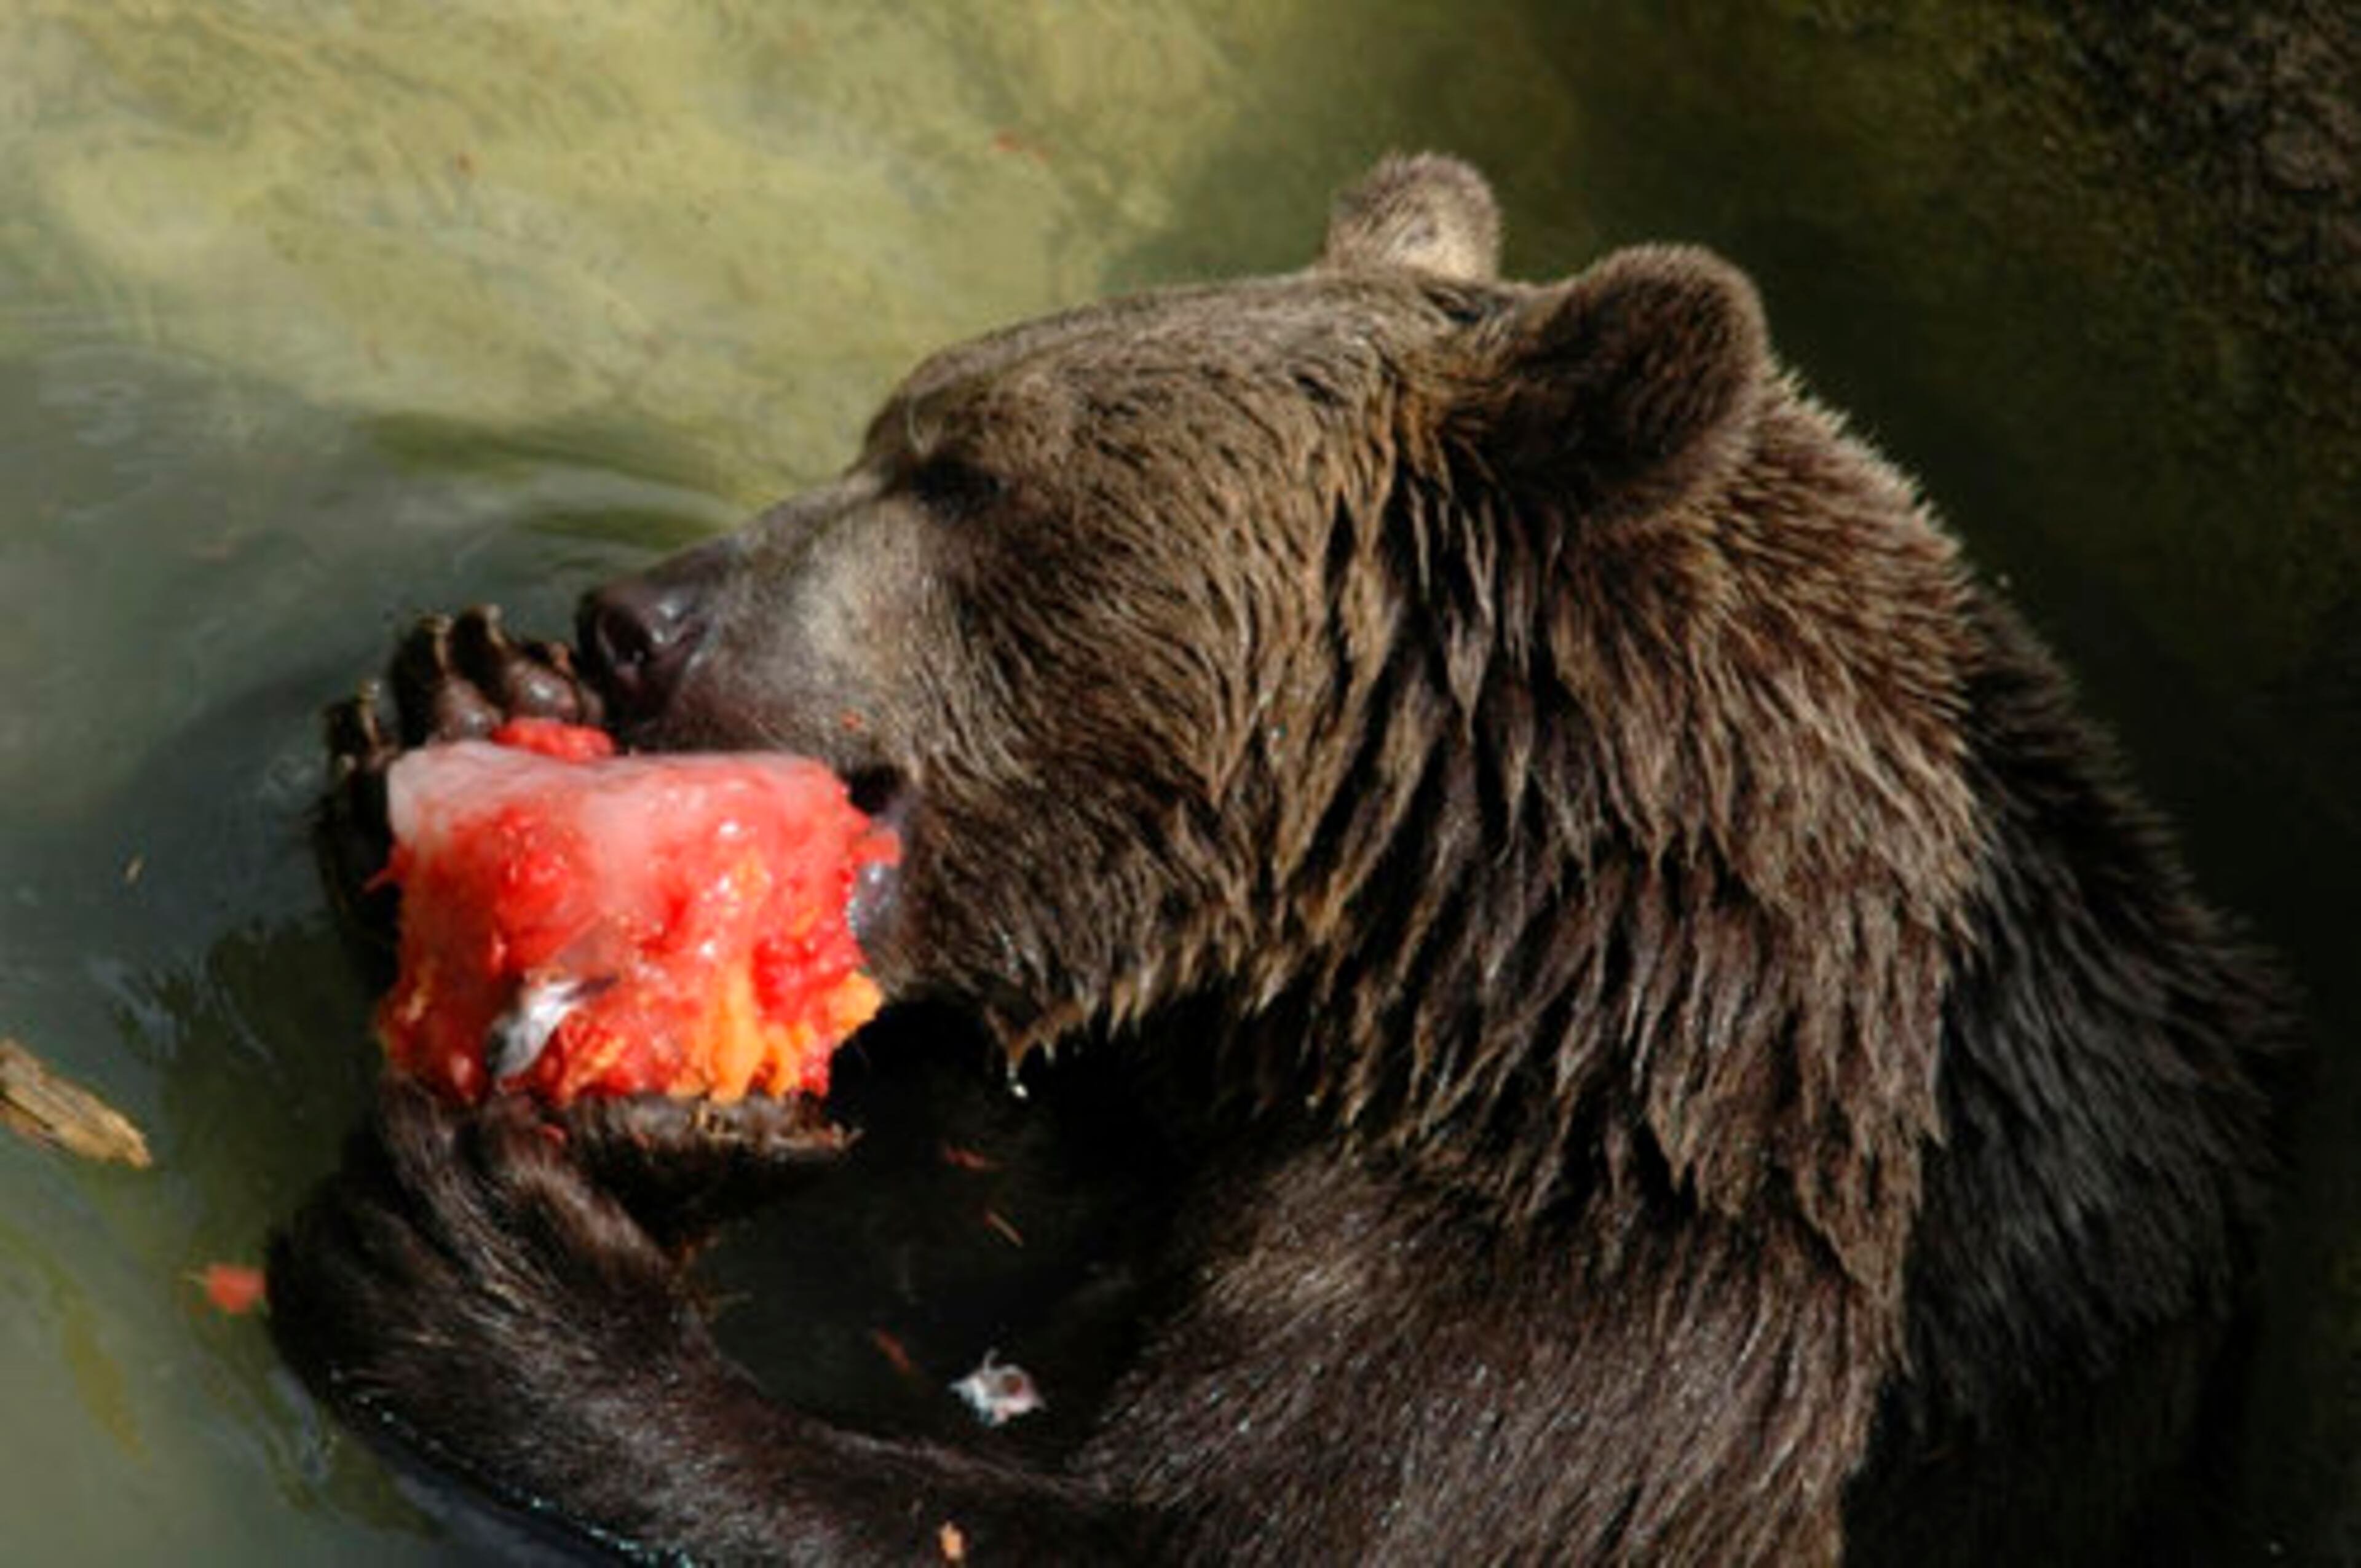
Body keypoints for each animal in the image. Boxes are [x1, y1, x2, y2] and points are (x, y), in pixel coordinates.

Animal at [268, 155, 2289, 1564]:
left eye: (962, 469)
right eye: (891, 432)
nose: (637, 617)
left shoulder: (1640, 1323)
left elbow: (1163, 1514)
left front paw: (486, 1282)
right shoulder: (1176, 1083)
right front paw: (454, 705)